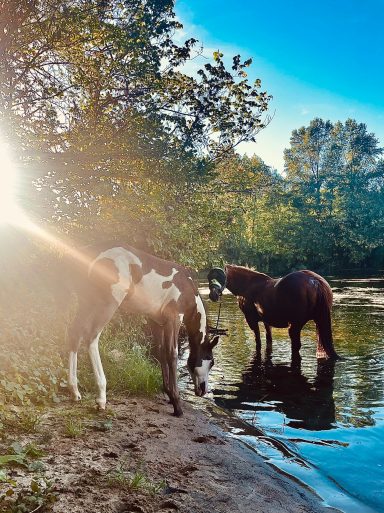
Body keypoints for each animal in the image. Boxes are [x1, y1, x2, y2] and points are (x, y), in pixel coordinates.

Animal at [63, 243, 219, 416]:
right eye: (211, 361)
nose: (203, 390)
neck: (188, 289)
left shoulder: (156, 322)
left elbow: (160, 351)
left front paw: (169, 394)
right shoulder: (174, 318)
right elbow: (172, 354)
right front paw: (177, 404)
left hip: (86, 304)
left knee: (75, 333)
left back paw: (74, 391)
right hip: (107, 304)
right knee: (91, 336)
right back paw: (101, 397)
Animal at [208, 264, 338, 360]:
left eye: (221, 277)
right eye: (209, 278)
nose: (213, 295)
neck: (247, 286)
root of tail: (314, 281)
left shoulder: (252, 321)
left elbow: (258, 342)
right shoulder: (267, 321)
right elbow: (268, 340)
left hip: (295, 326)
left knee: (296, 345)